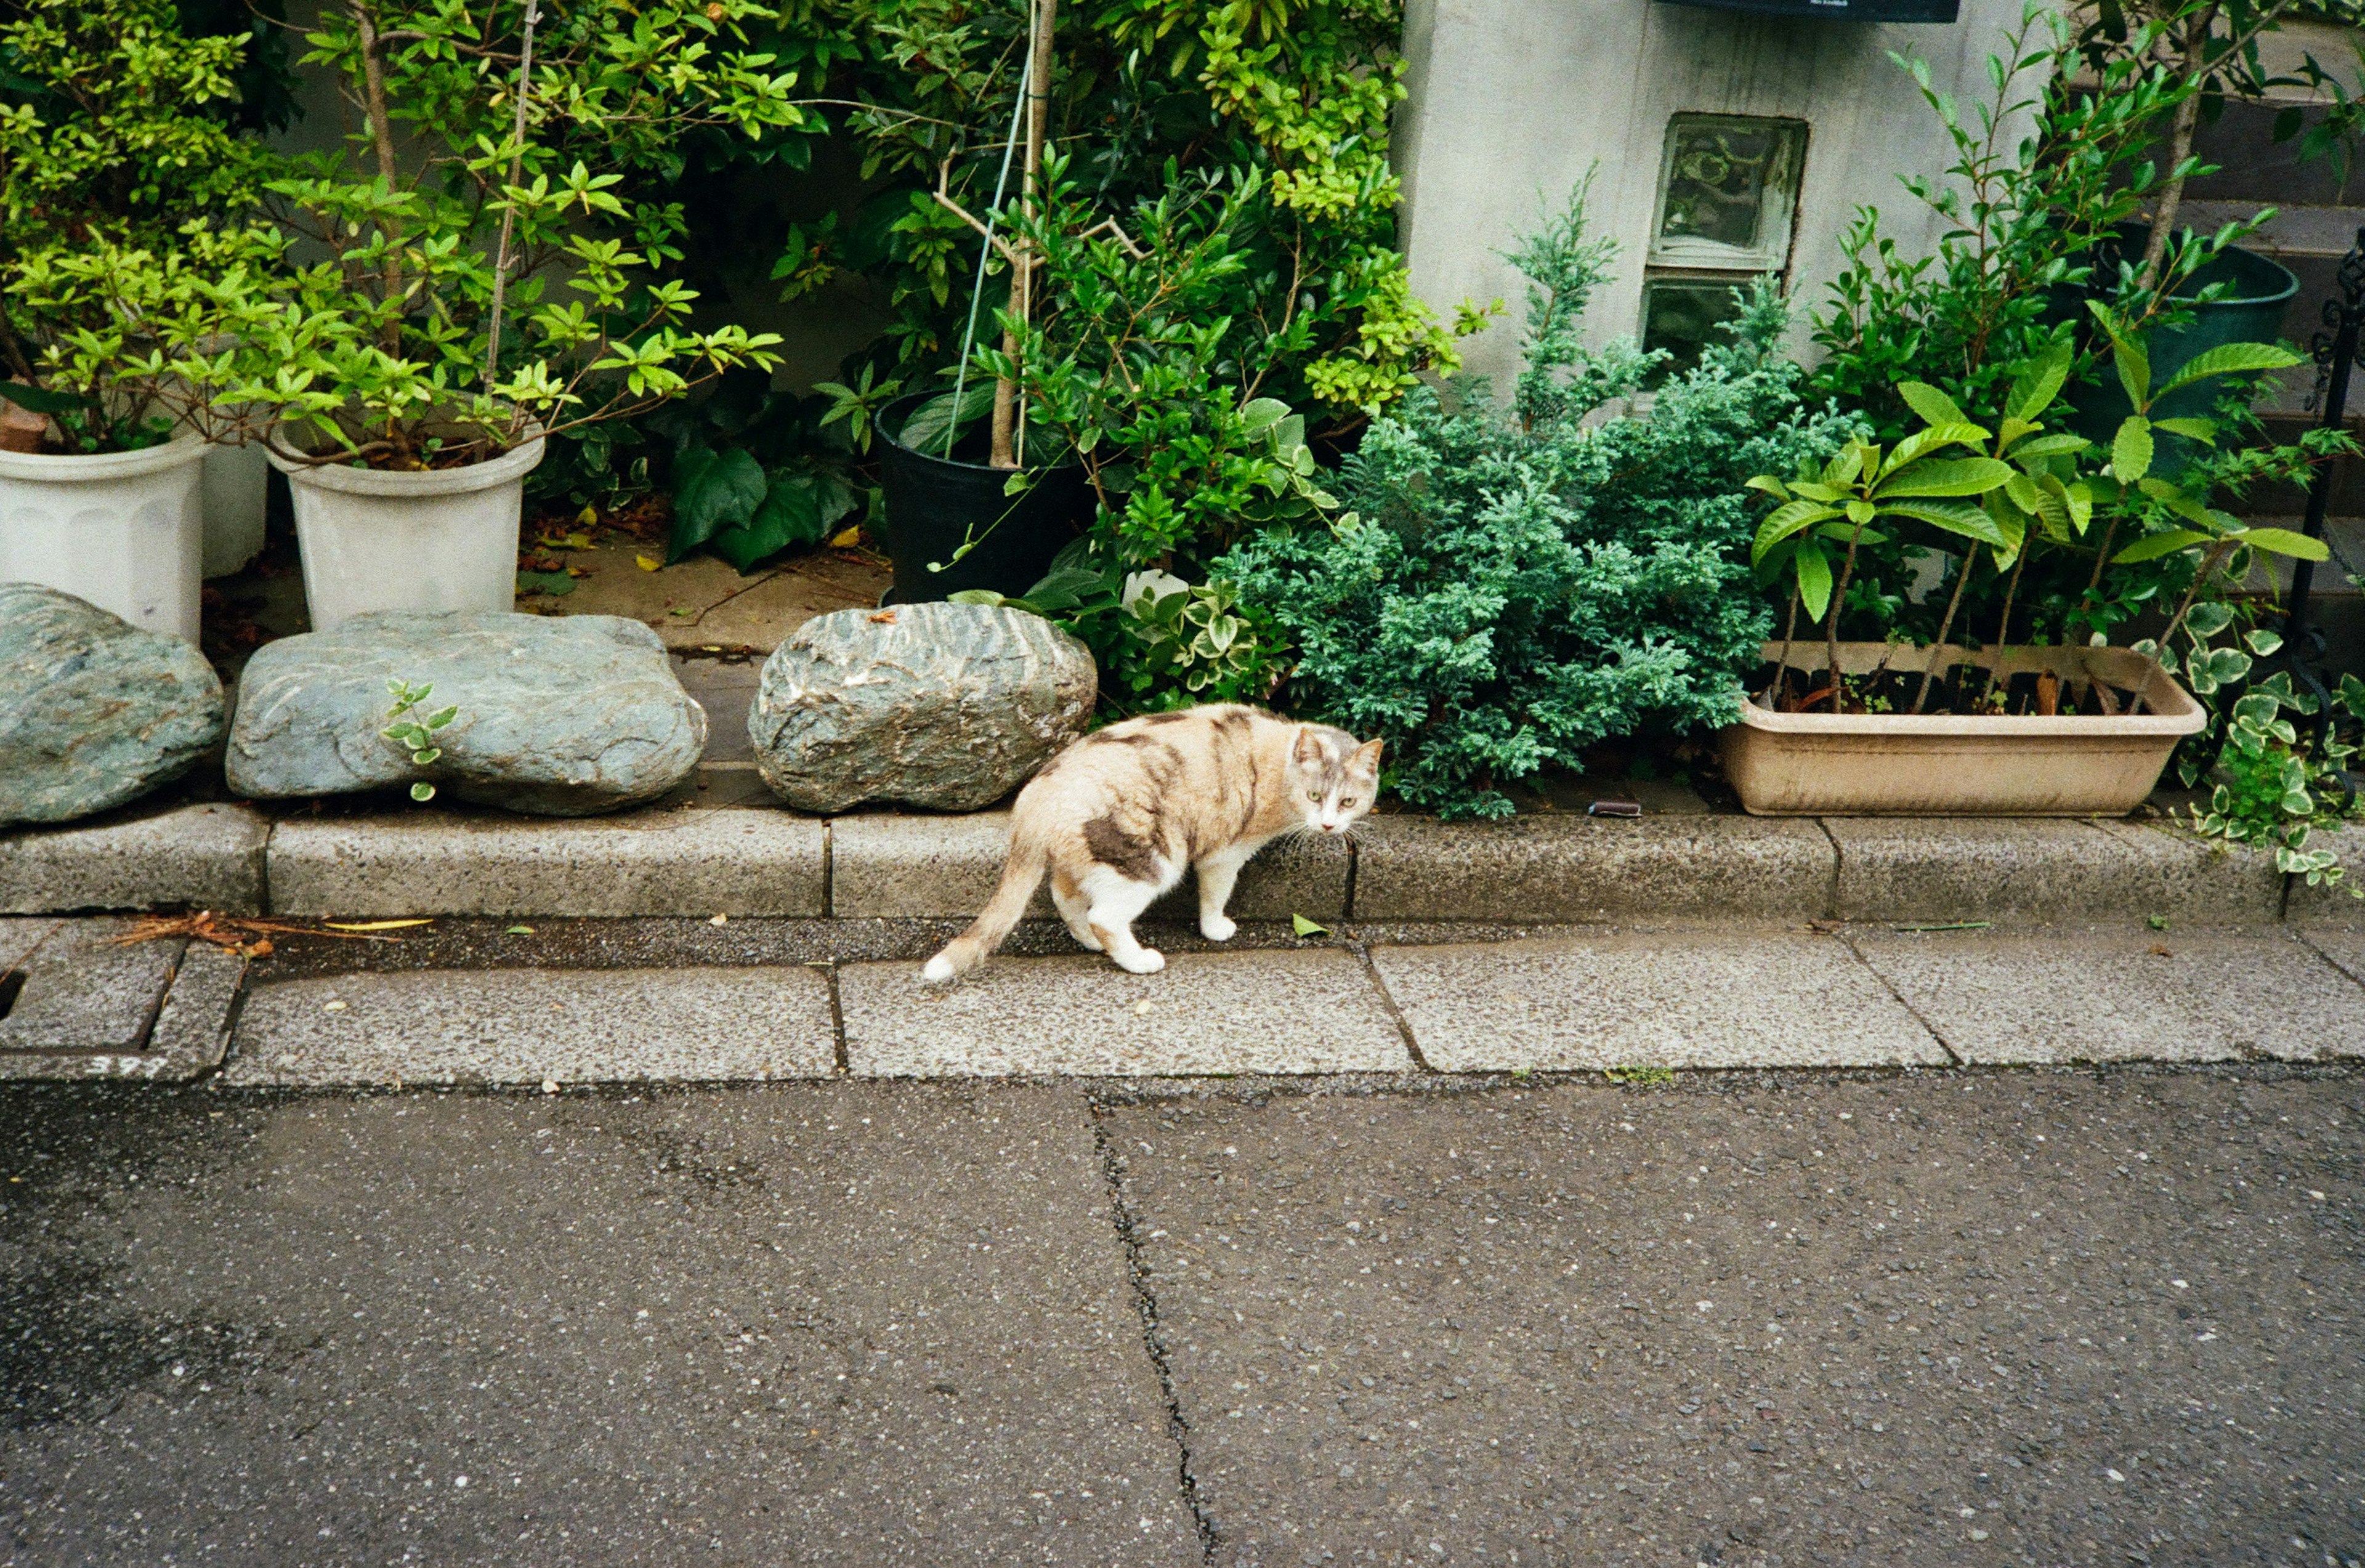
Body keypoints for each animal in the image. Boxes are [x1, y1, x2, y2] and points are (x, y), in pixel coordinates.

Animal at [913, 709, 1381, 984]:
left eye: (1348, 802)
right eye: (1315, 796)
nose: (1328, 825)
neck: (1279, 759)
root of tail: (1034, 797)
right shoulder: (1224, 853)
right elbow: (1215, 895)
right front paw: (1216, 929)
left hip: (1088, 854)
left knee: (1065, 896)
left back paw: (1088, 941)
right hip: (1149, 860)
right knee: (1104, 916)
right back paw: (1137, 959)